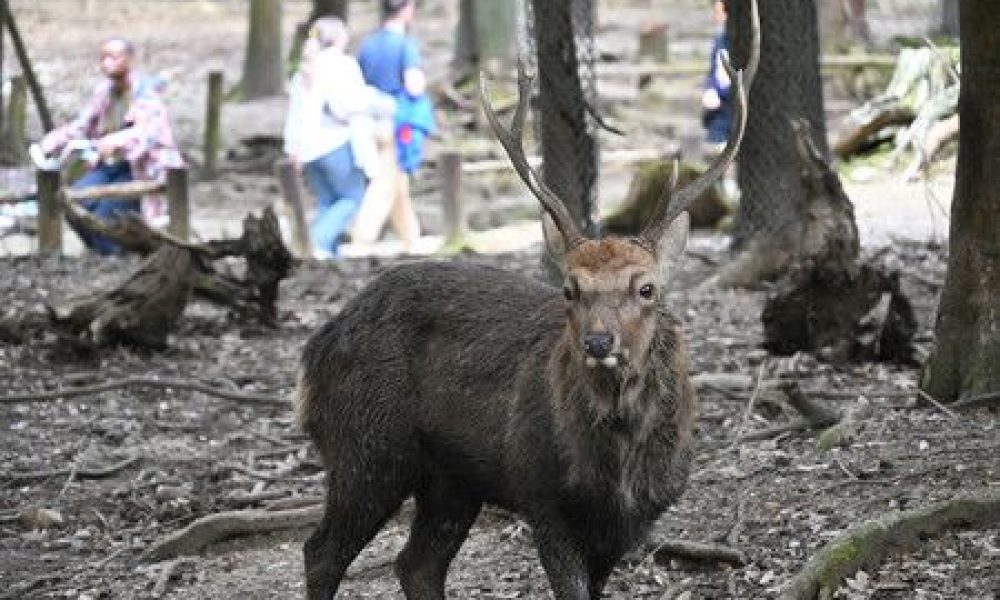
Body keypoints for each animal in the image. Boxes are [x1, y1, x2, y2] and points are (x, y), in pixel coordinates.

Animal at [296, 4, 756, 596]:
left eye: (646, 288)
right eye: (570, 288)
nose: (599, 341)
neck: (615, 473)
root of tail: (314, 350)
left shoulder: (629, 524)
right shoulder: (542, 497)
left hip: (451, 477)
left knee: (416, 562)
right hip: (367, 444)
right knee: (321, 552)